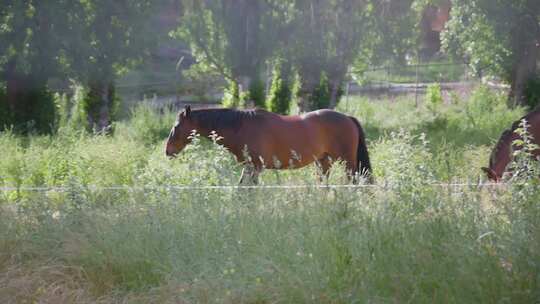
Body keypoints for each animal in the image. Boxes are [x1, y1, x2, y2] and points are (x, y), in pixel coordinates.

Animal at [165, 105, 372, 184]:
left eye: (176, 126)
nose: (167, 151)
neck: (241, 127)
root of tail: (347, 118)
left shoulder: (256, 167)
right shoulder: (249, 167)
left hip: (347, 162)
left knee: (354, 181)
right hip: (323, 162)